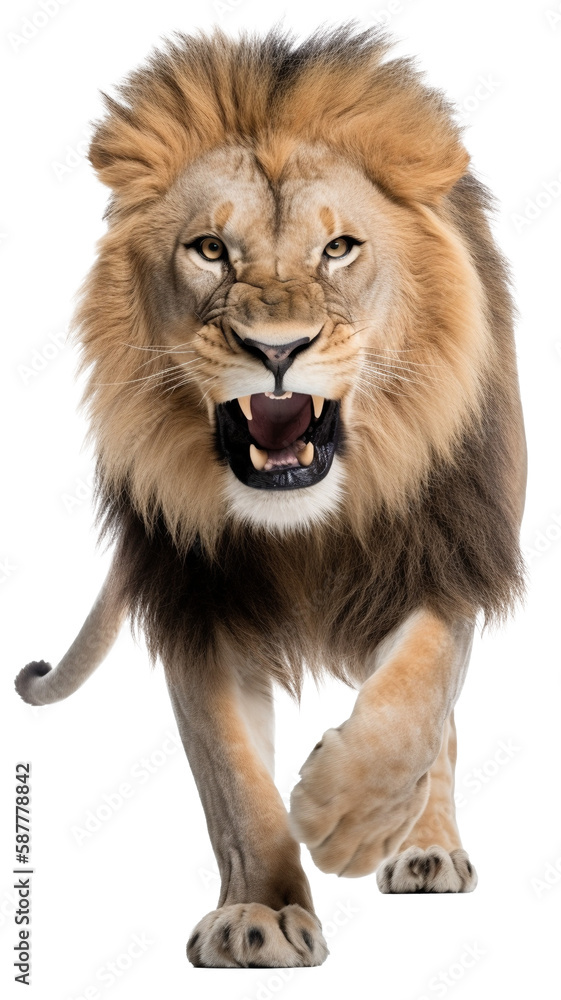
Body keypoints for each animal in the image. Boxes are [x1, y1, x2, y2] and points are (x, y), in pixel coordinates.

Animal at [15, 26, 526, 968]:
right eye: (211, 249)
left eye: (339, 249)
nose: (277, 349)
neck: (302, 527)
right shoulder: (197, 607)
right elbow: (234, 784)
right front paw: (261, 913)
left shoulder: (447, 554)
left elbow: (414, 702)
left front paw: (345, 817)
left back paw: (424, 845)